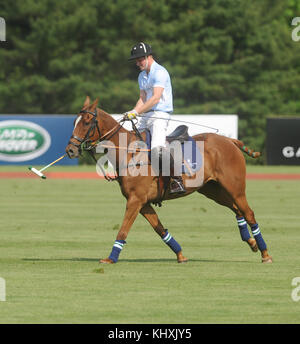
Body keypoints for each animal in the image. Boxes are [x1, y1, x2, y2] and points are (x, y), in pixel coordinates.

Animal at [65, 98, 272, 264]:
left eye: (87, 122)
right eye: (75, 121)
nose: (70, 150)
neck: (129, 152)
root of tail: (230, 141)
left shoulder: (135, 200)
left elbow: (123, 229)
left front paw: (110, 258)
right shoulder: (143, 203)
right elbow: (160, 229)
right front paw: (180, 255)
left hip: (234, 187)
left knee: (249, 213)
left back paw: (265, 253)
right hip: (213, 189)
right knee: (237, 210)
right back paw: (251, 243)